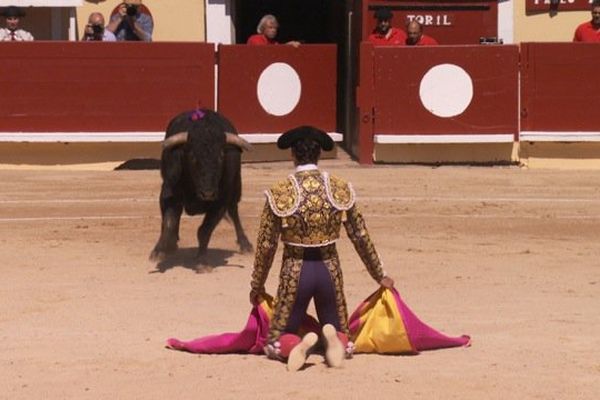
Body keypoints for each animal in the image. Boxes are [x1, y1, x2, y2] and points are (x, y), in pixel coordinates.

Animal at [151, 109, 254, 260]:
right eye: (192, 156)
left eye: (221, 156)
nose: (208, 194)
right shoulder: (168, 191)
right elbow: (169, 222)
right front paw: (162, 249)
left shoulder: (221, 201)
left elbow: (205, 230)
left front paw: (201, 258)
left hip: (236, 187)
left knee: (234, 212)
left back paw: (245, 244)